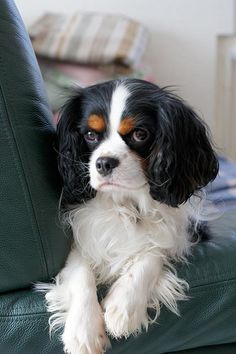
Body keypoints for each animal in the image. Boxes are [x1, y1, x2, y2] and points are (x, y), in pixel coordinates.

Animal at [39, 79, 218, 352]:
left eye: (139, 134)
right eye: (90, 135)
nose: (103, 163)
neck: (124, 201)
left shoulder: (178, 235)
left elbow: (151, 256)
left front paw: (123, 308)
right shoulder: (80, 240)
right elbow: (81, 272)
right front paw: (84, 330)